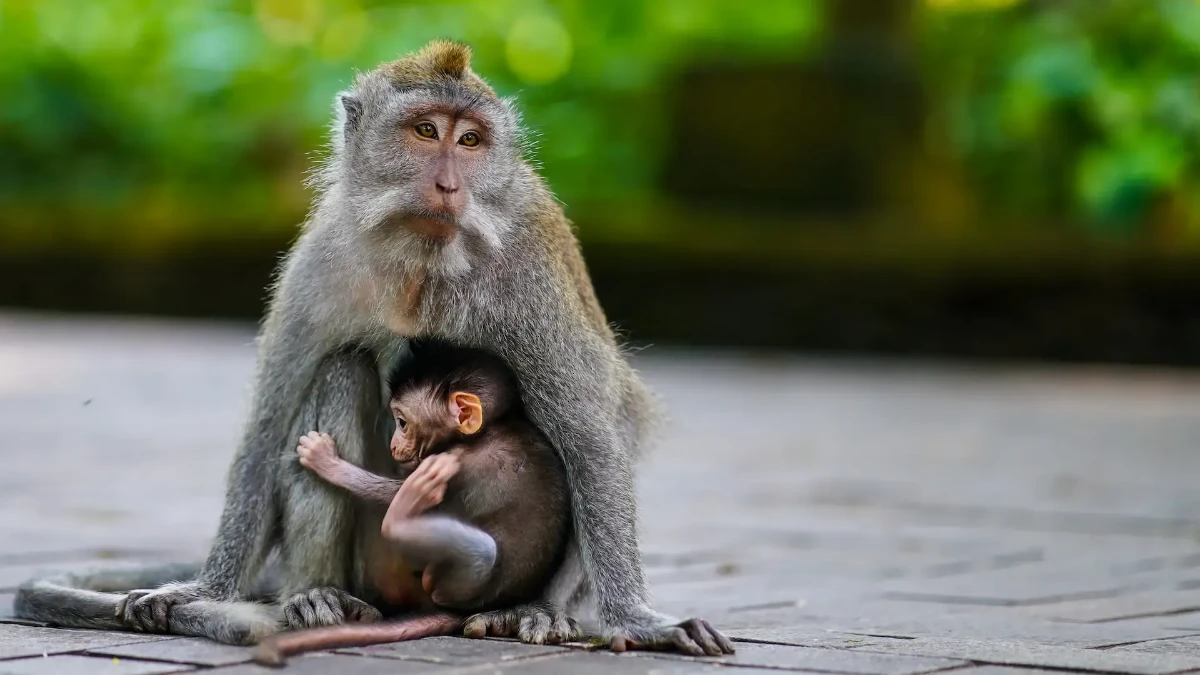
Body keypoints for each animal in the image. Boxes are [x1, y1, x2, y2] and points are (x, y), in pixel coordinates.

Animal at [252, 342, 572, 666]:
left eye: (402, 422)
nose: (394, 444)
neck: (488, 430)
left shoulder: (455, 463)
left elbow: (392, 494)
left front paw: (325, 460)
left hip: (453, 583)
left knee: (479, 549)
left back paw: (401, 518)